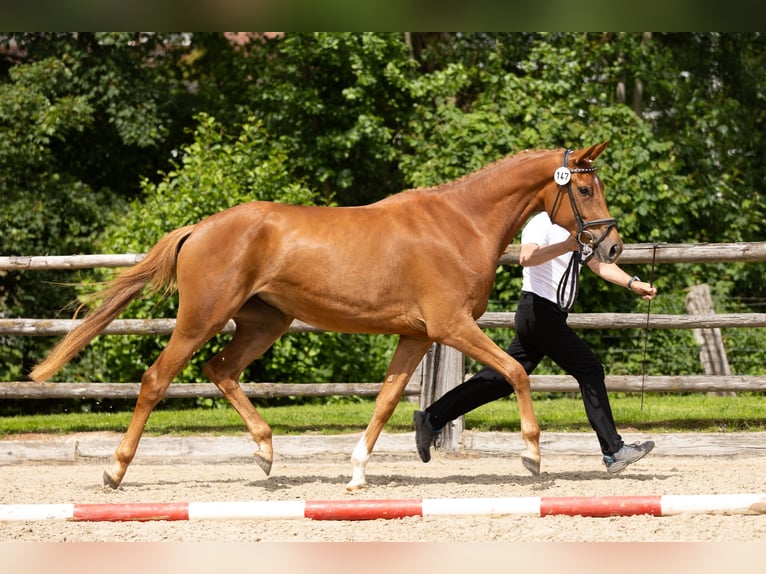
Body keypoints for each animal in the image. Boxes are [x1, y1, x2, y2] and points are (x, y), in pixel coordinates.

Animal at [33, 142, 628, 492]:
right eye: (582, 187)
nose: (612, 246)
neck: (459, 224)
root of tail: (200, 227)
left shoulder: (416, 337)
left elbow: (387, 401)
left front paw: (358, 473)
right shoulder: (451, 327)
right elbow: (517, 371)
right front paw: (532, 457)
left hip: (263, 324)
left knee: (220, 371)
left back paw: (266, 454)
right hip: (203, 319)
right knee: (158, 379)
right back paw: (114, 471)